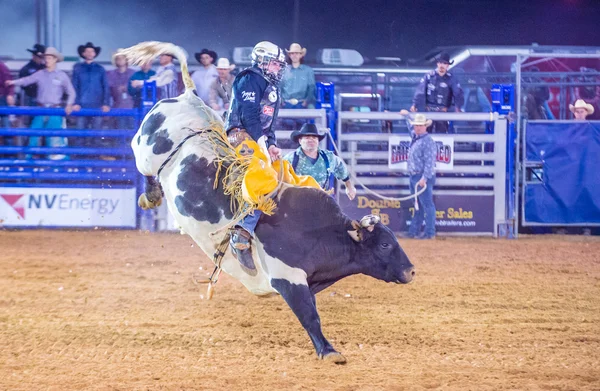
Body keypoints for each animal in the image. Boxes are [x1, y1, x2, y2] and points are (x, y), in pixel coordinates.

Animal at [124, 41, 414, 362]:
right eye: (385, 244)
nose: (411, 271)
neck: (321, 233)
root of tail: (187, 97)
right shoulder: (288, 277)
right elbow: (309, 315)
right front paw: (329, 351)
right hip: (145, 151)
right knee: (144, 167)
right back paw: (150, 196)